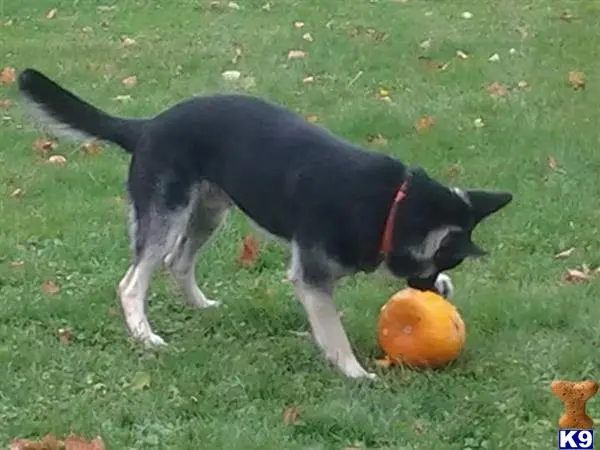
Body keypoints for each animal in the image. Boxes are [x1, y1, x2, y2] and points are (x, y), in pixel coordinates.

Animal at [16, 69, 512, 380]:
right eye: (438, 264)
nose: (434, 291)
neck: (393, 204)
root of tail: (147, 125)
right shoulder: (311, 278)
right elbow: (334, 335)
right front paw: (355, 373)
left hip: (209, 212)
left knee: (179, 262)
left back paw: (199, 305)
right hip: (167, 215)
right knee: (132, 282)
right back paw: (145, 335)